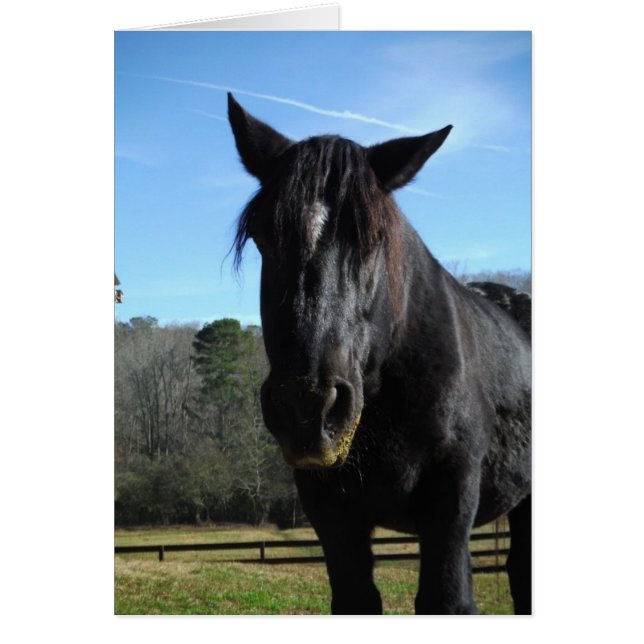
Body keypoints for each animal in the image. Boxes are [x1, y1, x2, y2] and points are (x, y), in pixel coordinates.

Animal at [227, 93, 531, 615]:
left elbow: (447, 599)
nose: (308, 408)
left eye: (373, 239)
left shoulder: (450, 501)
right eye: (265, 236)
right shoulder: (331, 512)